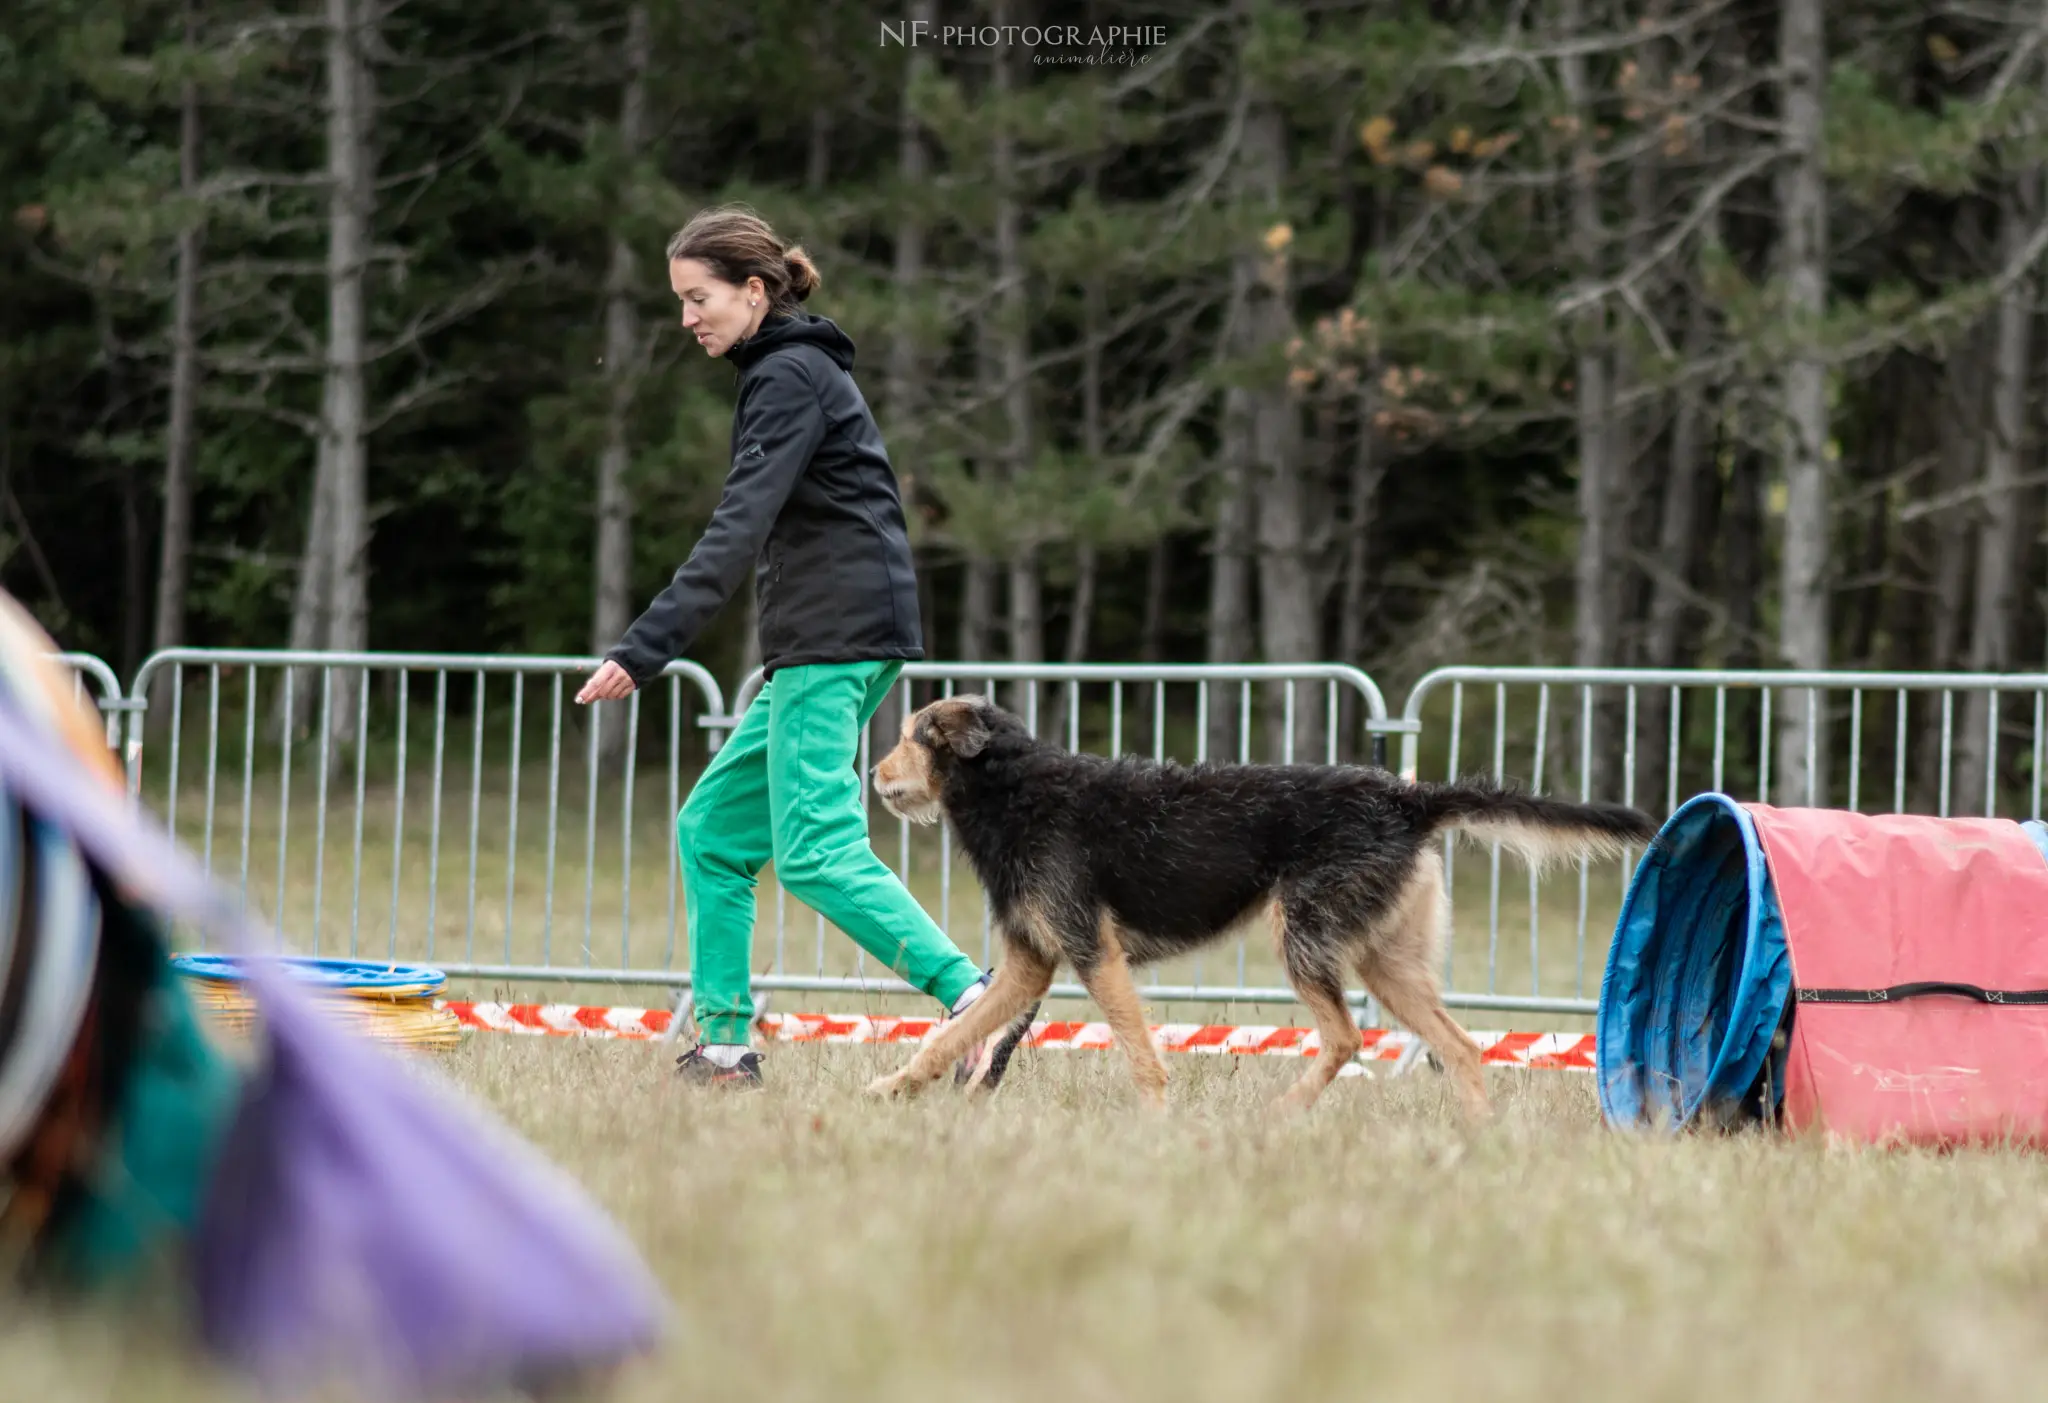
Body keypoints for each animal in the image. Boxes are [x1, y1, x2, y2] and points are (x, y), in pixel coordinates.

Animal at [872, 696, 1654, 1114]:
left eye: (913, 735)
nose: (873, 774)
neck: (1015, 788)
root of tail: (1408, 799)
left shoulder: (1094, 953)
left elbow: (1140, 1053)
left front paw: (1155, 1124)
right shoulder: (1029, 965)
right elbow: (950, 1036)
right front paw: (893, 1085)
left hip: (1304, 937)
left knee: (1346, 1036)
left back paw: (1283, 1115)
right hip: (1387, 964)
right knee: (1460, 1046)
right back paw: (1476, 1137)